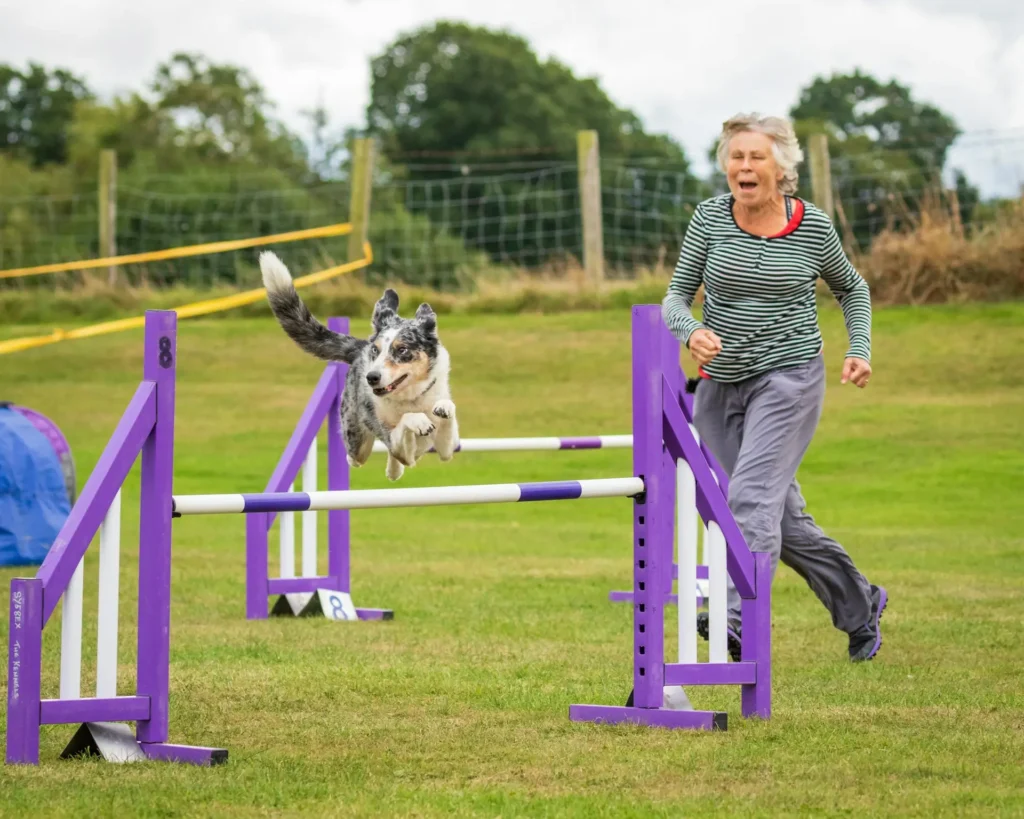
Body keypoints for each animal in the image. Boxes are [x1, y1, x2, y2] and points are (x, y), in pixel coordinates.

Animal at [260, 249, 460, 479]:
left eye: (402, 350)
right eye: (377, 350)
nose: (371, 377)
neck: (410, 398)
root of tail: (360, 347)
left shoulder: (446, 449)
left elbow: (447, 417)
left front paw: (443, 408)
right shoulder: (396, 444)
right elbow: (405, 423)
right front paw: (418, 420)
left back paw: (393, 471)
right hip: (358, 443)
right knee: (354, 457)